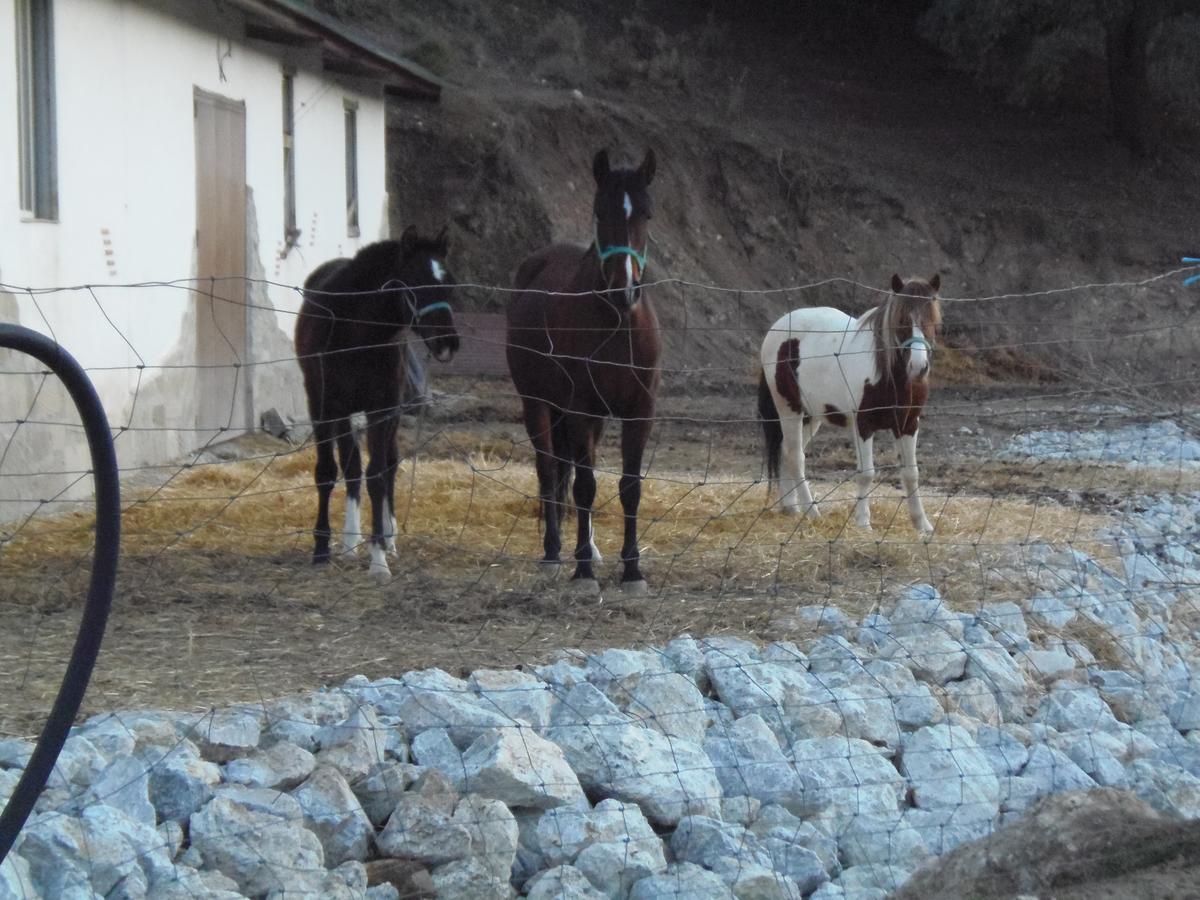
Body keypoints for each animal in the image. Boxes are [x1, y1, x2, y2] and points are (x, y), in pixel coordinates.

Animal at [295, 224, 458, 578]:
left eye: (450, 282)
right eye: (415, 282)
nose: (448, 344)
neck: (357, 334)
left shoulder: (382, 410)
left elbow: (379, 475)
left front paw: (379, 556)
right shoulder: (323, 406)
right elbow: (329, 472)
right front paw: (321, 548)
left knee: (387, 465)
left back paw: (388, 537)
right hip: (343, 412)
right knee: (351, 468)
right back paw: (349, 542)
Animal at [504, 151, 662, 595]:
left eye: (646, 213)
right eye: (600, 211)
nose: (624, 289)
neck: (617, 325)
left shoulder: (638, 412)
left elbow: (629, 486)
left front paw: (632, 570)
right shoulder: (580, 408)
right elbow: (585, 485)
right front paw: (584, 573)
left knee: (567, 470)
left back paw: (586, 547)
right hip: (539, 405)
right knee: (549, 470)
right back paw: (554, 552)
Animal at [758, 273, 945, 528]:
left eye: (932, 319)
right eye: (901, 320)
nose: (919, 367)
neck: (889, 376)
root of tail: (777, 328)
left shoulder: (908, 425)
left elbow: (911, 473)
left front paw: (922, 524)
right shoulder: (863, 425)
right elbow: (866, 474)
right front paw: (863, 523)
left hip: (811, 416)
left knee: (787, 452)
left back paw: (792, 508)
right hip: (789, 409)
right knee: (796, 456)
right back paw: (812, 511)